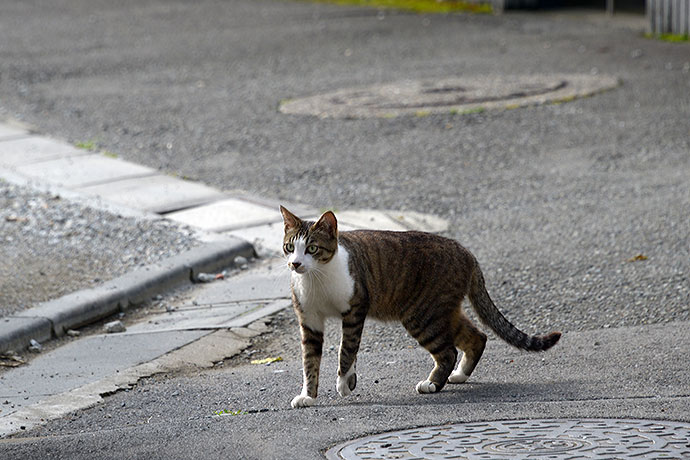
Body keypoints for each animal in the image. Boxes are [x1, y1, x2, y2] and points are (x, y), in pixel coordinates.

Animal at [280, 207, 560, 408]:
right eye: (290, 247)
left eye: (312, 248)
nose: (295, 264)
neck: (316, 279)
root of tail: (466, 252)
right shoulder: (309, 320)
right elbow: (310, 360)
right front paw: (309, 395)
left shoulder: (355, 310)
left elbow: (346, 350)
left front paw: (343, 383)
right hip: (439, 312)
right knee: (477, 337)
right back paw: (459, 375)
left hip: (422, 315)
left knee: (448, 351)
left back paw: (433, 384)